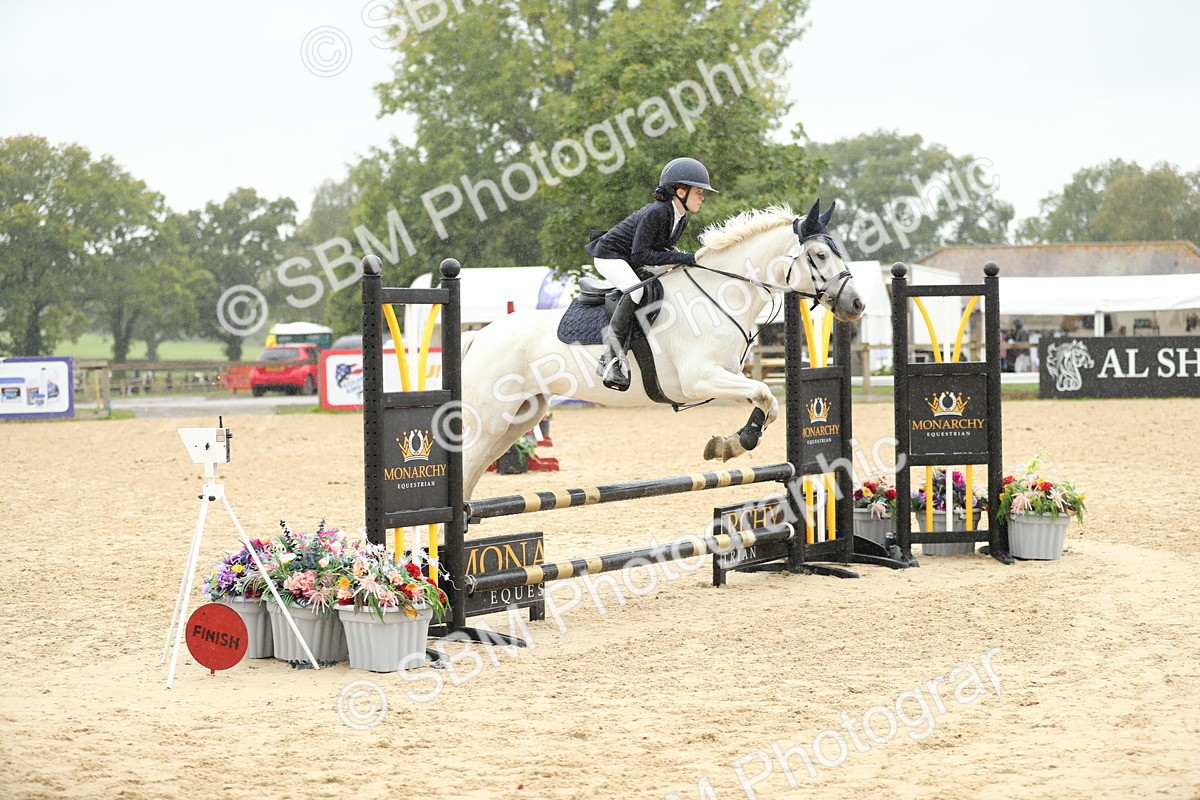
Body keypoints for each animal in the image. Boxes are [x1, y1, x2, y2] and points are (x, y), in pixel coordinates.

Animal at [458, 200, 864, 499]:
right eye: (819, 256)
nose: (856, 304)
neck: (719, 296)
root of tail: (480, 336)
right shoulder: (699, 379)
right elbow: (765, 393)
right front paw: (738, 442)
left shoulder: (728, 374)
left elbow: (769, 402)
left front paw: (730, 443)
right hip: (491, 417)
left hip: (521, 417)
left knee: (475, 470)